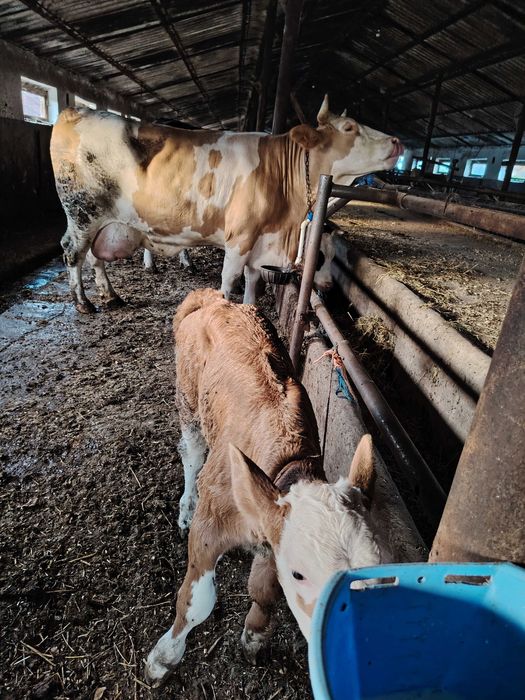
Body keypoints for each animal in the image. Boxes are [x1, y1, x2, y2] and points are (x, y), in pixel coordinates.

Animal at [50, 96, 403, 313]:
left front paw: (249, 310)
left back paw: (110, 295)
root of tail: (76, 111)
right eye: (349, 127)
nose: (398, 141)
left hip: (105, 223)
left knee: (95, 258)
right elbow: (229, 280)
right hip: (82, 214)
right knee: (72, 253)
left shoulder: (260, 240)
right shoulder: (240, 237)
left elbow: (252, 281)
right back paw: (84, 302)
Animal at [144, 289, 391, 686]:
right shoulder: (210, 524)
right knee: (191, 451)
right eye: (300, 574)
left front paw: (254, 636)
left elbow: (264, 591)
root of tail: (215, 299)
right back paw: (185, 505)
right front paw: (164, 657)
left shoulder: (271, 530)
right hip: (188, 396)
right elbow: (197, 601)